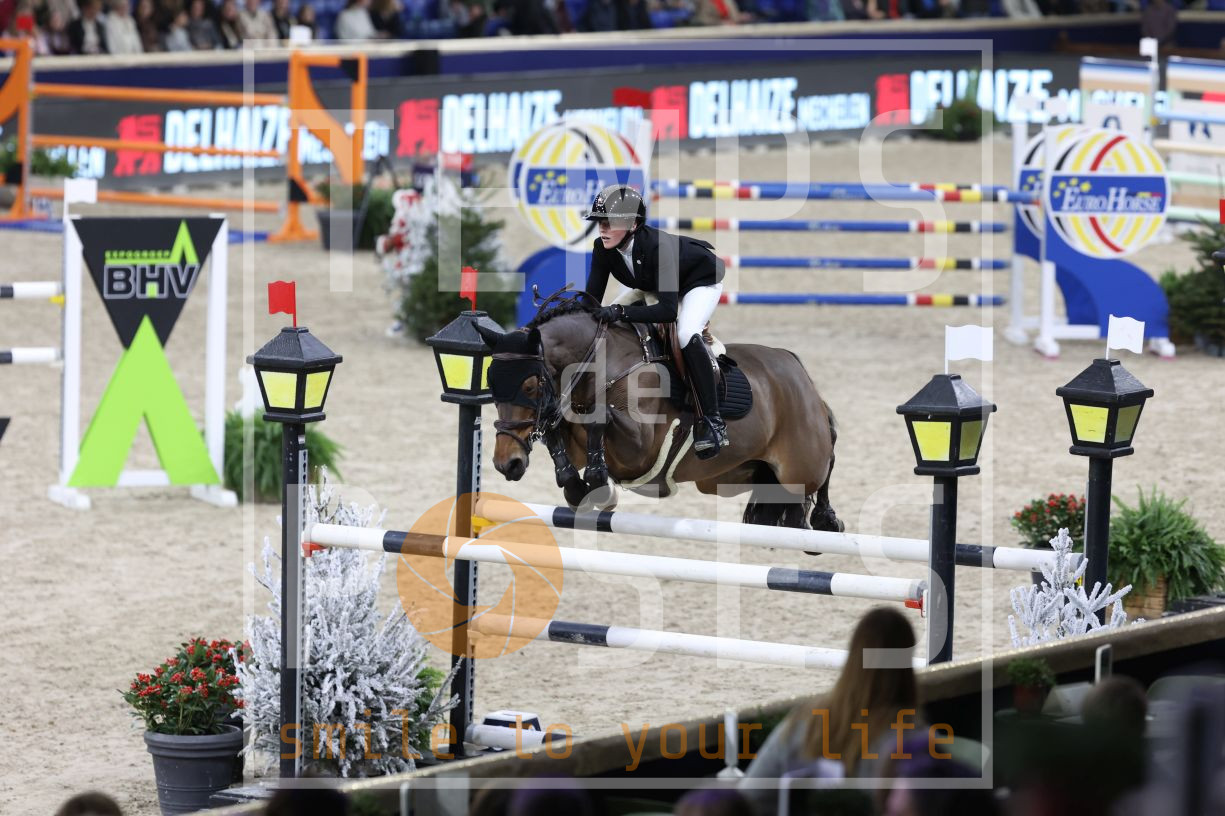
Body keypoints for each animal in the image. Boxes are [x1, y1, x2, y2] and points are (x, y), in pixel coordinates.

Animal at [474, 298, 842, 531]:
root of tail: (796, 367)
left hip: (801, 462)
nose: (507, 463)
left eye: (530, 386)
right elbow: (557, 434)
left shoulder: (639, 451)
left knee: (827, 460)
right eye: (491, 386)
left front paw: (599, 483)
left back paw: (828, 520)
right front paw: (577, 488)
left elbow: (600, 417)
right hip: (725, 477)